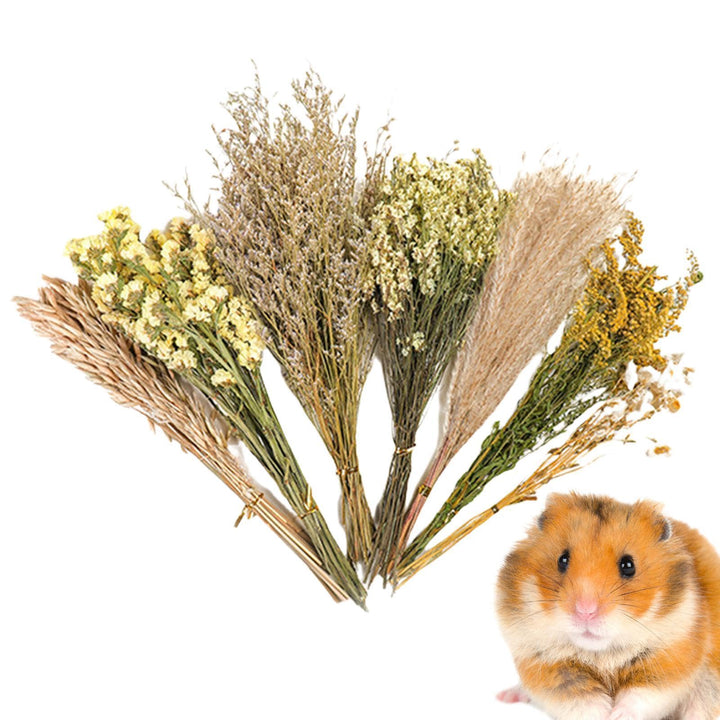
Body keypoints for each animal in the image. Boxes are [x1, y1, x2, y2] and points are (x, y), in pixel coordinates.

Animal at [496, 493, 720, 720]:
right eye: (562, 560)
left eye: (628, 565)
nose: (585, 611)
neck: (601, 655)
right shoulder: (547, 666)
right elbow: (582, 700)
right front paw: (603, 714)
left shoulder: (668, 662)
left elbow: (640, 696)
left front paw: (617, 715)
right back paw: (506, 696)